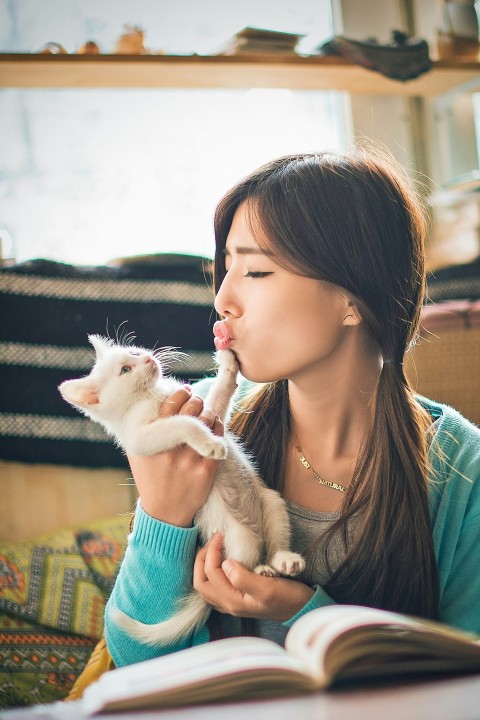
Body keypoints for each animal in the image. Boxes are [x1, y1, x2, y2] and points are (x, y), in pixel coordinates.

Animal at [59, 338, 304, 648]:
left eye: (134, 353)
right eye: (126, 369)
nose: (149, 359)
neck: (152, 395)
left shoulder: (210, 413)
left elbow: (220, 393)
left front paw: (227, 364)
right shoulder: (141, 438)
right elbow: (183, 423)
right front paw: (210, 444)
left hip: (272, 503)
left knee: (273, 544)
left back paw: (283, 561)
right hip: (241, 539)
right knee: (243, 564)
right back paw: (260, 570)